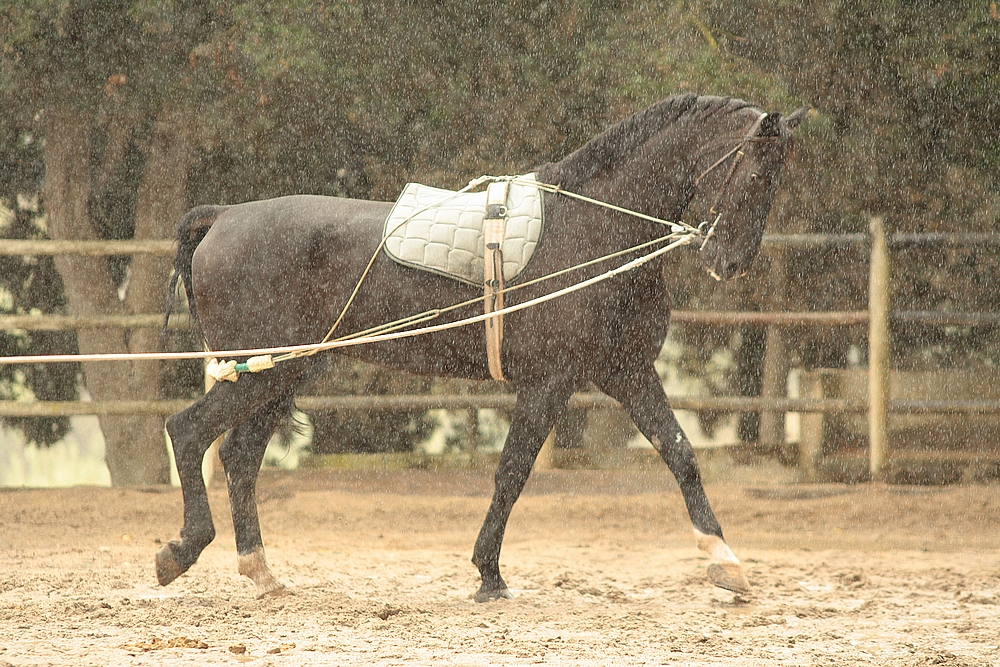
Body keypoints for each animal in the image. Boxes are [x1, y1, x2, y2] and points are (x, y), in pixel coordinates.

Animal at [160, 94, 808, 600]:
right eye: (757, 173)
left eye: (780, 178)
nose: (730, 262)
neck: (593, 232)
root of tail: (224, 217)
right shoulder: (550, 382)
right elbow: (513, 471)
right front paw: (488, 575)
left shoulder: (627, 371)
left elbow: (681, 454)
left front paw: (725, 562)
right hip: (260, 374)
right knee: (188, 432)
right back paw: (181, 552)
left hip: (283, 374)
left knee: (239, 456)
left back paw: (260, 572)